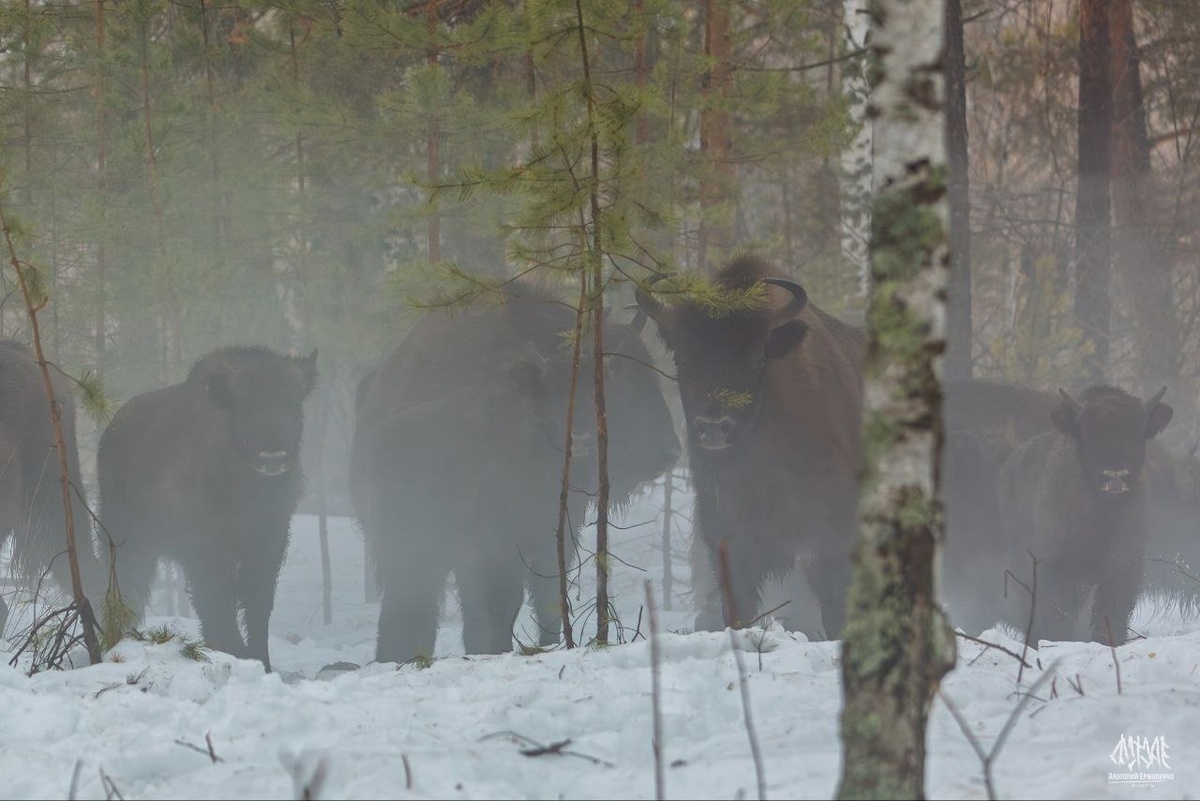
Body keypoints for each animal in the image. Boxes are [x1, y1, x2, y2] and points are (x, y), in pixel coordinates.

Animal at [98, 346, 317, 669]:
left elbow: (257, 605)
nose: (273, 457)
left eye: (292, 401)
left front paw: (261, 662)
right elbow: (218, 605)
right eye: (243, 404)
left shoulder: (269, 543)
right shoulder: (206, 553)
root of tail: (112, 430)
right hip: (125, 541)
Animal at [353, 283, 680, 663]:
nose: (671, 451)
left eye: (650, 369)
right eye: (613, 382)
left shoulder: (554, 533)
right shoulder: (494, 545)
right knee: (411, 604)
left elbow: (547, 593)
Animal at [637, 255, 864, 637]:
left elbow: (835, 607)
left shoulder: (832, 538)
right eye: (682, 361)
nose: (714, 427)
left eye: (757, 360)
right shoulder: (728, 538)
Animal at [996, 384, 1173, 645]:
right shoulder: (1059, 568)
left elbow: (1110, 614)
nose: (1115, 475)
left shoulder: (1122, 568)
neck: (1104, 513)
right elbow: (1058, 616)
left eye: (1140, 431)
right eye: (1088, 433)